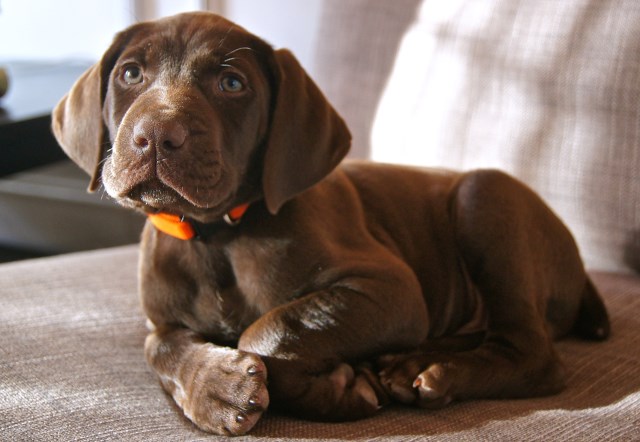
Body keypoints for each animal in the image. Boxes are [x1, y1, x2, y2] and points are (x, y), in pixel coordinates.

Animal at [52, 12, 608, 436]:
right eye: (130, 75)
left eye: (231, 84)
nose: (155, 136)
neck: (217, 235)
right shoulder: (162, 320)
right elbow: (159, 347)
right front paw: (214, 388)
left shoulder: (388, 290)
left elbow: (271, 328)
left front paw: (329, 389)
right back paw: (407, 364)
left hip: (485, 197)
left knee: (532, 354)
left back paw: (436, 373)